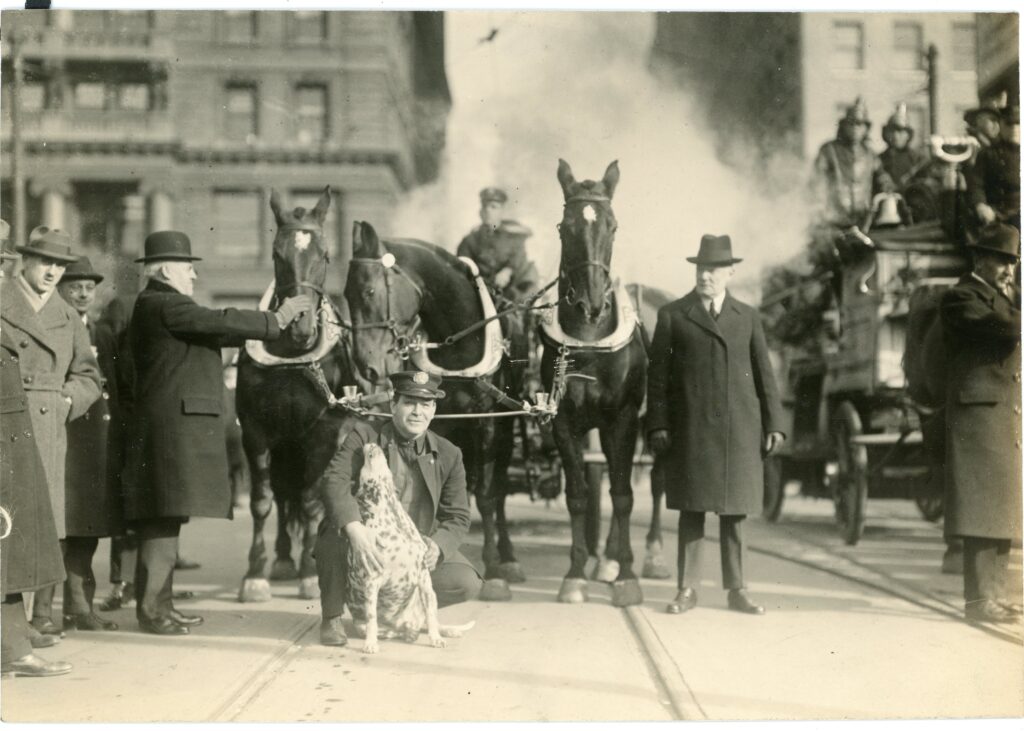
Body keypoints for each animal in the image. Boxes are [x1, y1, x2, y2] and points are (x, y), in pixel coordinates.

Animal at [235, 185, 360, 602]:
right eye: (277, 254)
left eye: (325, 254)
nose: (300, 327)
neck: (293, 360)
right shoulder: (255, 431)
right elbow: (261, 501)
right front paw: (255, 574)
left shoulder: (322, 433)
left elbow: (310, 500)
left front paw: (309, 571)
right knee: (280, 490)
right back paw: (282, 559)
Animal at [344, 442, 471, 651]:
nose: (371, 443)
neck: (393, 516)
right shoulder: (372, 582)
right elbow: (372, 619)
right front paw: (370, 644)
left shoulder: (425, 580)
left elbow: (432, 617)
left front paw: (436, 639)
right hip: (366, 624)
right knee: (390, 630)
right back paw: (406, 634)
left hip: (428, 599)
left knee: (428, 622)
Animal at [346, 222, 528, 597]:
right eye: (344, 295)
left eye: (369, 291)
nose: (366, 367)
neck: (458, 341)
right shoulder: (441, 422)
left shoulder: (488, 425)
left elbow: (487, 494)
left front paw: (494, 564)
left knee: (499, 489)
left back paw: (507, 555)